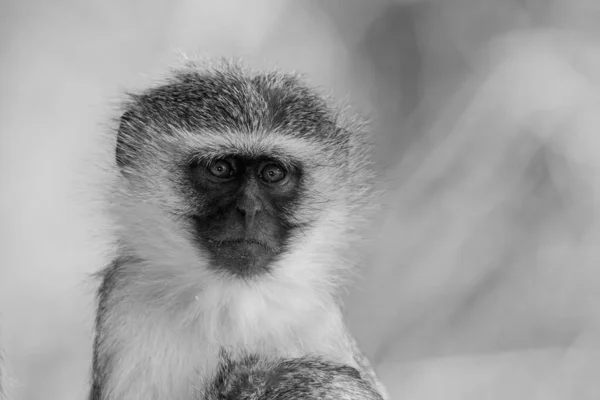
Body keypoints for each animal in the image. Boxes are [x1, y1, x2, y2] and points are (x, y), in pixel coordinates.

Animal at [91, 60, 386, 400]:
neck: (233, 300)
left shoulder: (316, 315)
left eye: (273, 173)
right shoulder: (126, 299)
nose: (249, 210)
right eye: (221, 168)